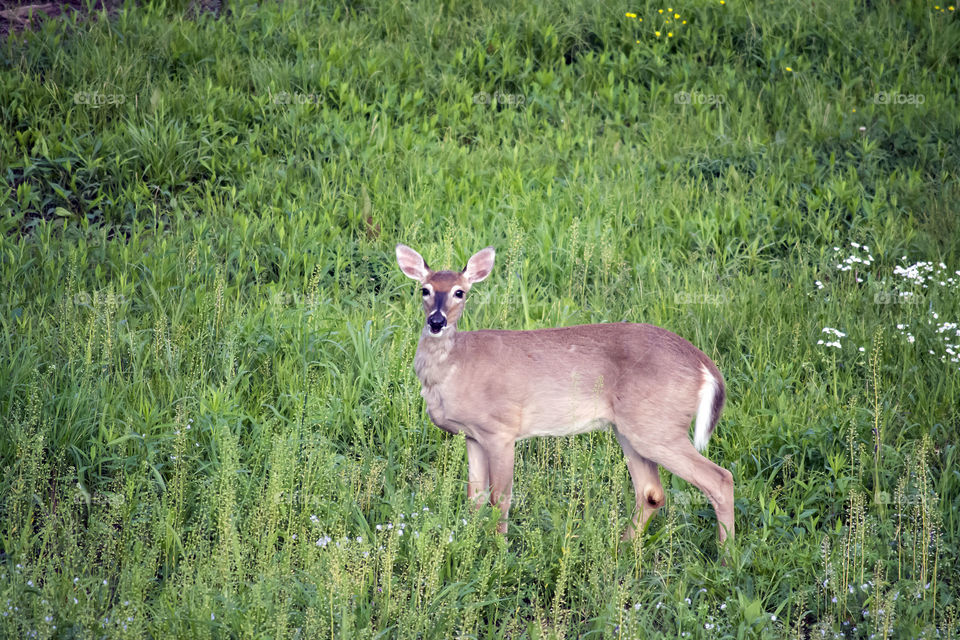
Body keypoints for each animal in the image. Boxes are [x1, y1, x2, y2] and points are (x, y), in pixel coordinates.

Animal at [395, 244, 734, 546]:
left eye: (459, 292)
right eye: (424, 289)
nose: (436, 321)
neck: (456, 367)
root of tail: (704, 365)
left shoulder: (501, 429)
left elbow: (499, 498)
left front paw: (498, 554)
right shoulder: (472, 435)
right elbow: (474, 498)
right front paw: (471, 548)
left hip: (658, 426)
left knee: (720, 478)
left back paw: (726, 558)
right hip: (631, 429)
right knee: (651, 491)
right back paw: (622, 550)